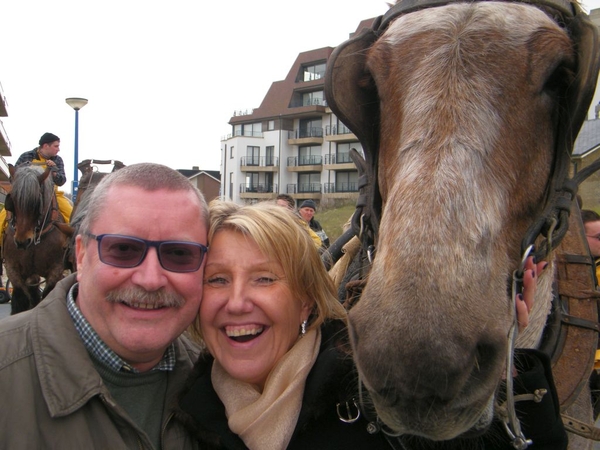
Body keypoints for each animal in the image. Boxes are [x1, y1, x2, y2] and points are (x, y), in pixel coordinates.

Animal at [2, 163, 67, 314]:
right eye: (12, 201)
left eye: (37, 202)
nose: (22, 241)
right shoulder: (12, 267)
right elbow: (21, 298)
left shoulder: (56, 268)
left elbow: (48, 294)